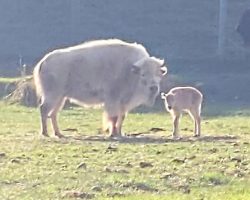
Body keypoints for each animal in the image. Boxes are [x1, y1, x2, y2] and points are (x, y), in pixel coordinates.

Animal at [32, 38, 166, 138]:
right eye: (143, 74)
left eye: (158, 74)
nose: (154, 87)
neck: (130, 70)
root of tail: (44, 61)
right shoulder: (112, 99)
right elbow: (113, 117)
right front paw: (113, 134)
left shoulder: (123, 102)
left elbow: (121, 117)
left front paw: (120, 133)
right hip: (52, 95)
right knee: (44, 109)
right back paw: (45, 133)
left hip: (61, 97)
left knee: (53, 113)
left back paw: (59, 134)